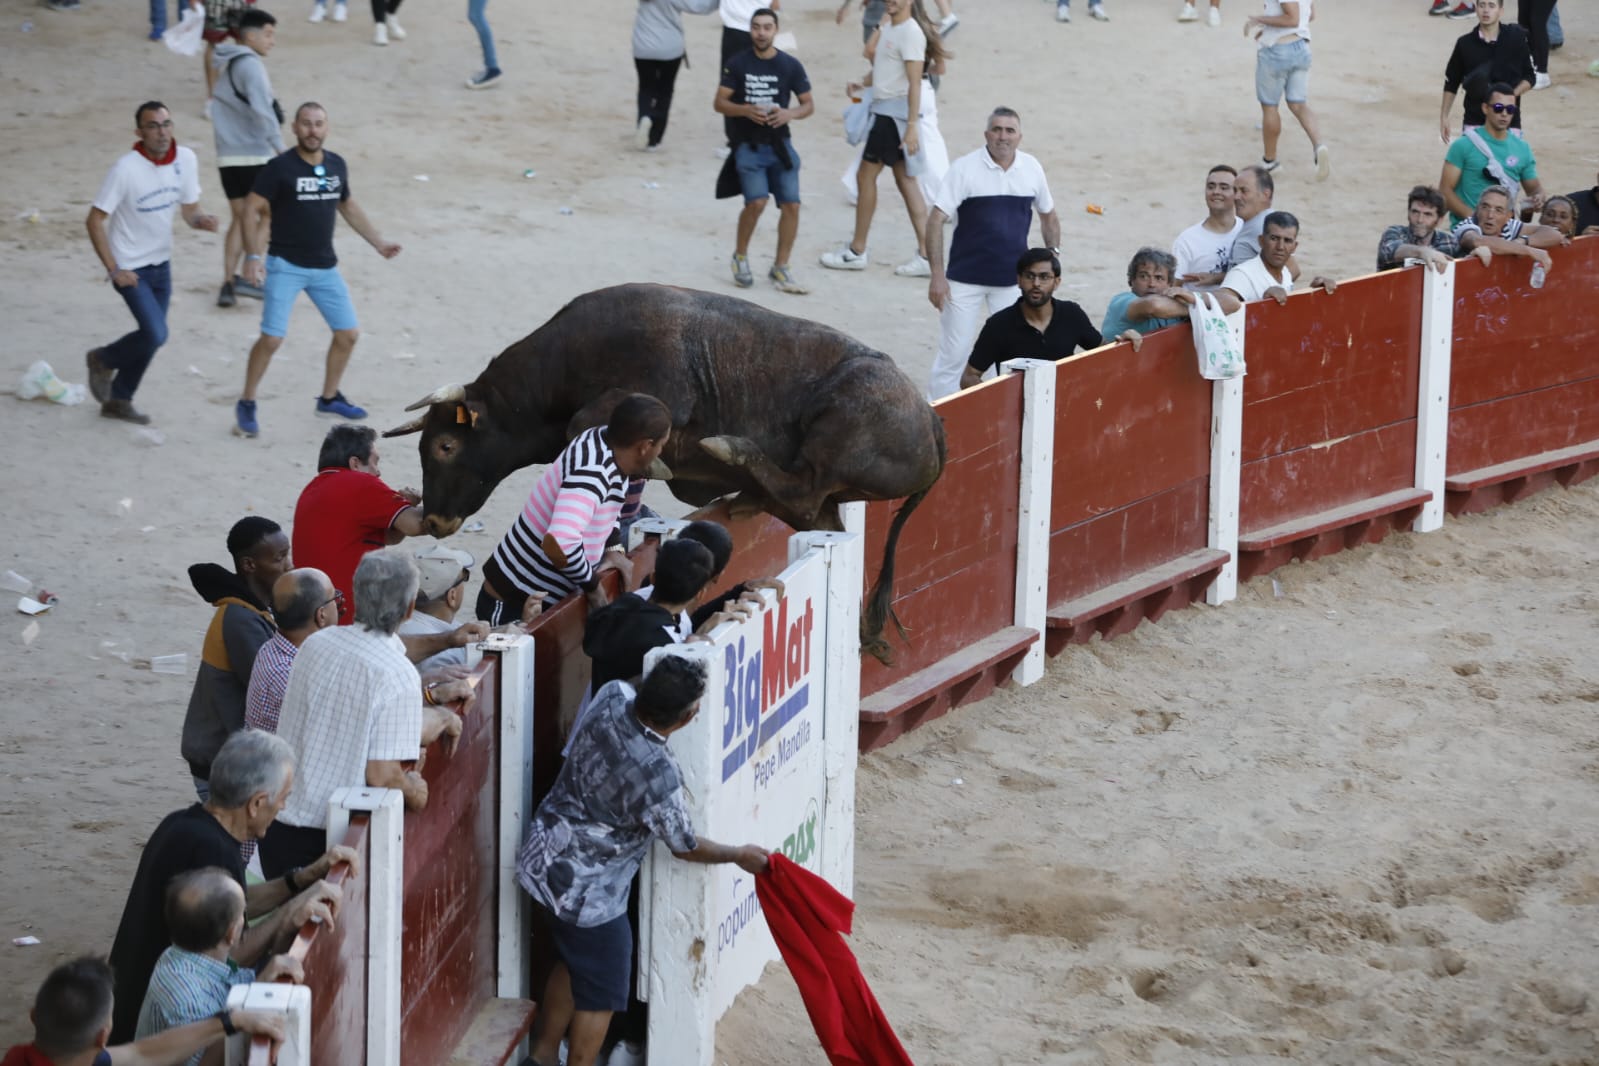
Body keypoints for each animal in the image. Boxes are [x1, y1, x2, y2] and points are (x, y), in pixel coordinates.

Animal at [380, 287, 940, 661]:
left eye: (446, 445)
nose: (434, 521)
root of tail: (931, 419)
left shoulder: (655, 395)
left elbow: (587, 424)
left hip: (838, 428)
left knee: (802, 490)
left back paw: (734, 455)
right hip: (828, 497)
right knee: (815, 511)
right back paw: (746, 497)